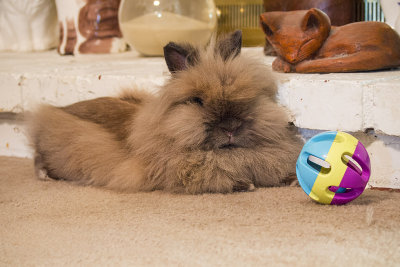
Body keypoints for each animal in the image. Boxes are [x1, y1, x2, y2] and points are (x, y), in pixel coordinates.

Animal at [27, 31, 304, 195]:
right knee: (38, 157)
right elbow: (211, 180)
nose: (231, 128)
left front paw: (291, 179)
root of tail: (57, 110)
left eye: (251, 96)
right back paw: (44, 176)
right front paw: (243, 184)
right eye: (197, 101)